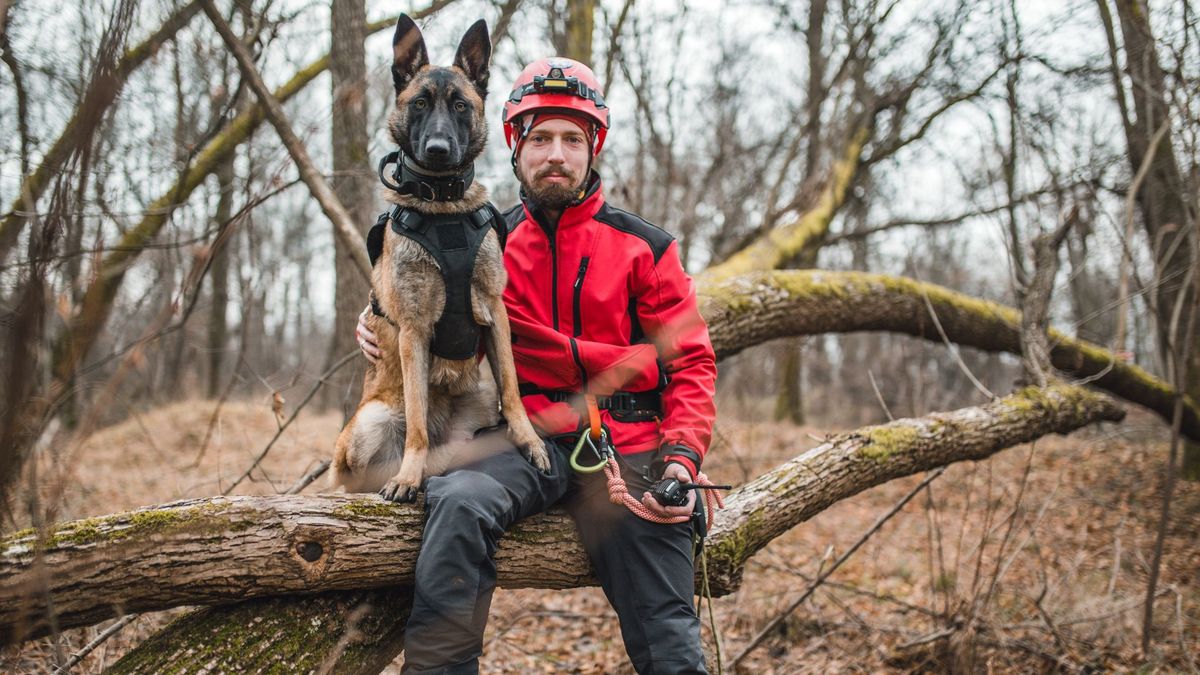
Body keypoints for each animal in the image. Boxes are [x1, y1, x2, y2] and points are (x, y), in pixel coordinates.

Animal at [333, 15, 549, 499]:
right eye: (419, 104)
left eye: (460, 106)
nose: (437, 149)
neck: (443, 207)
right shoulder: (414, 330)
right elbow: (416, 422)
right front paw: (407, 476)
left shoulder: (494, 312)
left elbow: (513, 390)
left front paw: (529, 441)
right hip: (368, 424)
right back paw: (402, 475)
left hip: (480, 402)